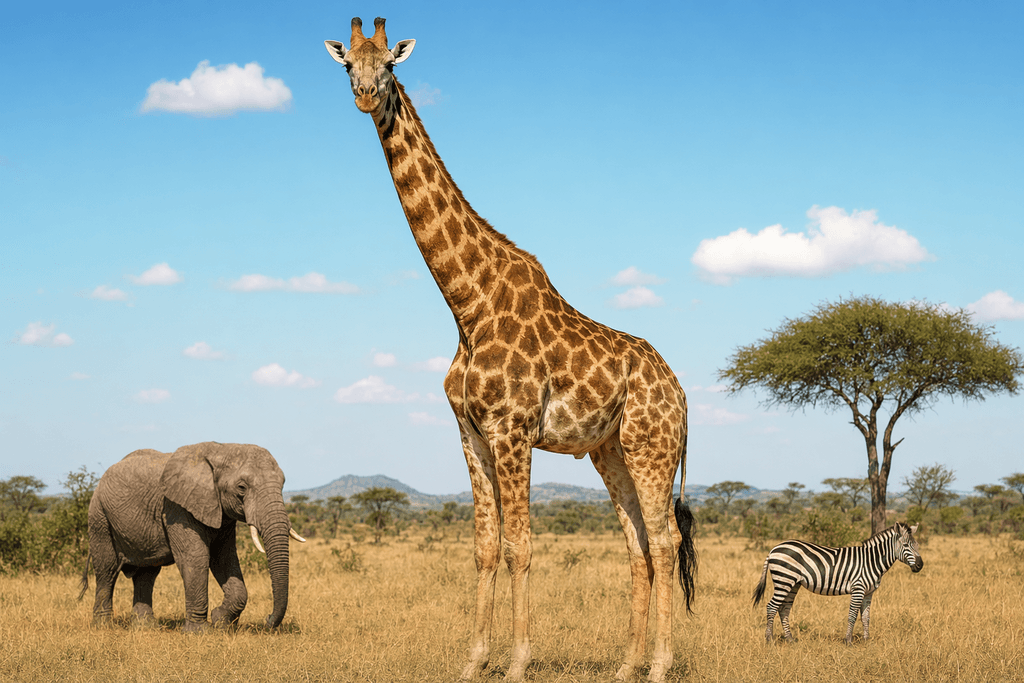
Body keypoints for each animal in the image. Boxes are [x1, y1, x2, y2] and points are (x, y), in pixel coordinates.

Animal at [325, 18, 697, 683]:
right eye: (348, 65)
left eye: (389, 64)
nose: (366, 96)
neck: (466, 305)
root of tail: (682, 392)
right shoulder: (470, 433)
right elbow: (484, 547)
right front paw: (474, 659)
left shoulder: (513, 429)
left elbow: (521, 546)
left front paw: (519, 660)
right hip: (610, 452)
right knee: (637, 545)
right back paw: (626, 665)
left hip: (651, 448)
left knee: (663, 541)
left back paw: (658, 665)